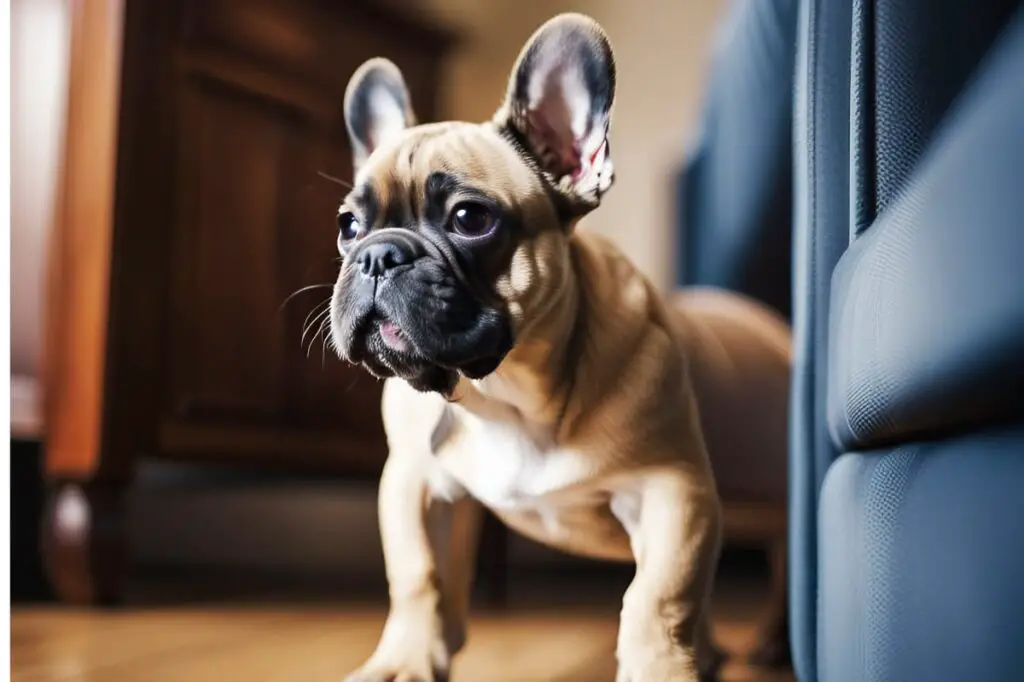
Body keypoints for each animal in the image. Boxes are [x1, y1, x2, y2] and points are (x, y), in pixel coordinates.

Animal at [327, 11, 790, 679]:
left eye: (470, 219)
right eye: (348, 225)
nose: (376, 256)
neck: (507, 394)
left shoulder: (675, 493)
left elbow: (657, 599)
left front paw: (657, 669)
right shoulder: (415, 485)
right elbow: (420, 577)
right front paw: (407, 659)